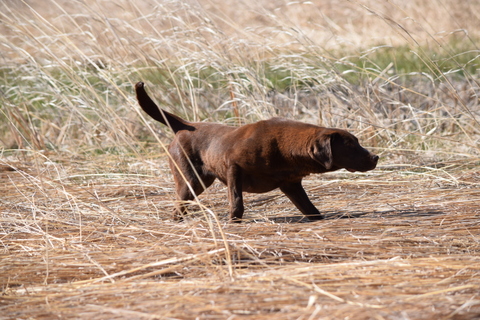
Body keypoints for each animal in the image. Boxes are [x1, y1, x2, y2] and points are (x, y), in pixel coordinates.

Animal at [135, 82, 378, 222]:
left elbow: (309, 208)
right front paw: (233, 221)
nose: (375, 157)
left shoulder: (291, 185)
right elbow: (236, 201)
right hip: (191, 181)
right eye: (350, 145)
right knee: (179, 206)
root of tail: (184, 125)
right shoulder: (234, 168)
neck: (284, 150)